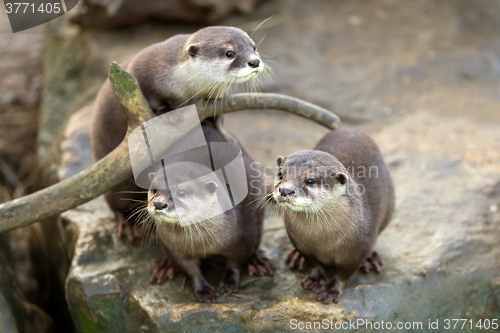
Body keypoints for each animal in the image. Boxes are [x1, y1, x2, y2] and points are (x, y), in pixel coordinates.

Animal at [274, 127, 394, 304]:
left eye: (310, 181)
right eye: (281, 174)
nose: (285, 190)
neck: (321, 239)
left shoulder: (357, 250)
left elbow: (344, 273)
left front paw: (331, 290)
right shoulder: (301, 243)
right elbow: (314, 263)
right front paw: (315, 279)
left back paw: (371, 259)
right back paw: (296, 257)